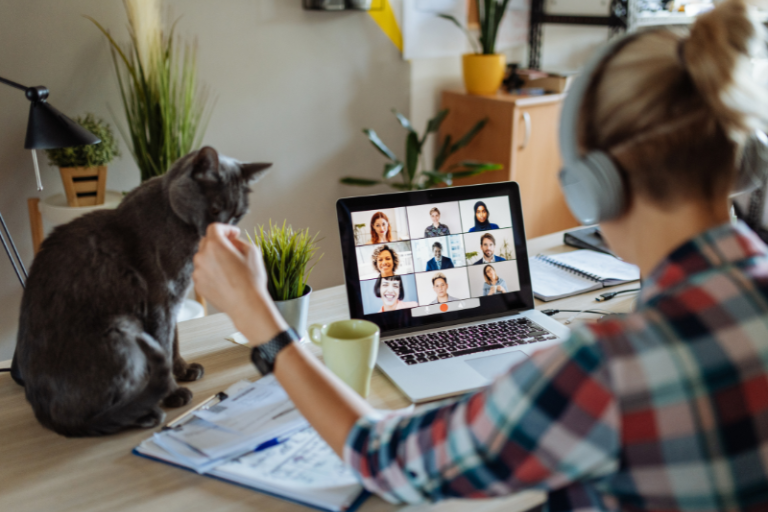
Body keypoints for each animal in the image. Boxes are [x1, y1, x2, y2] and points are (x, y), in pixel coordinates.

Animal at [12, 147, 272, 436]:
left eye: (238, 214)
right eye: (215, 208)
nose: (227, 229)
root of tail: (44, 415)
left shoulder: (174, 299)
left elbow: (174, 340)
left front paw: (184, 369)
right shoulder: (160, 300)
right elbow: (163, 344)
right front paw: (173, 393)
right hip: (122, 329)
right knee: (91, 417)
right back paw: (145, 412)